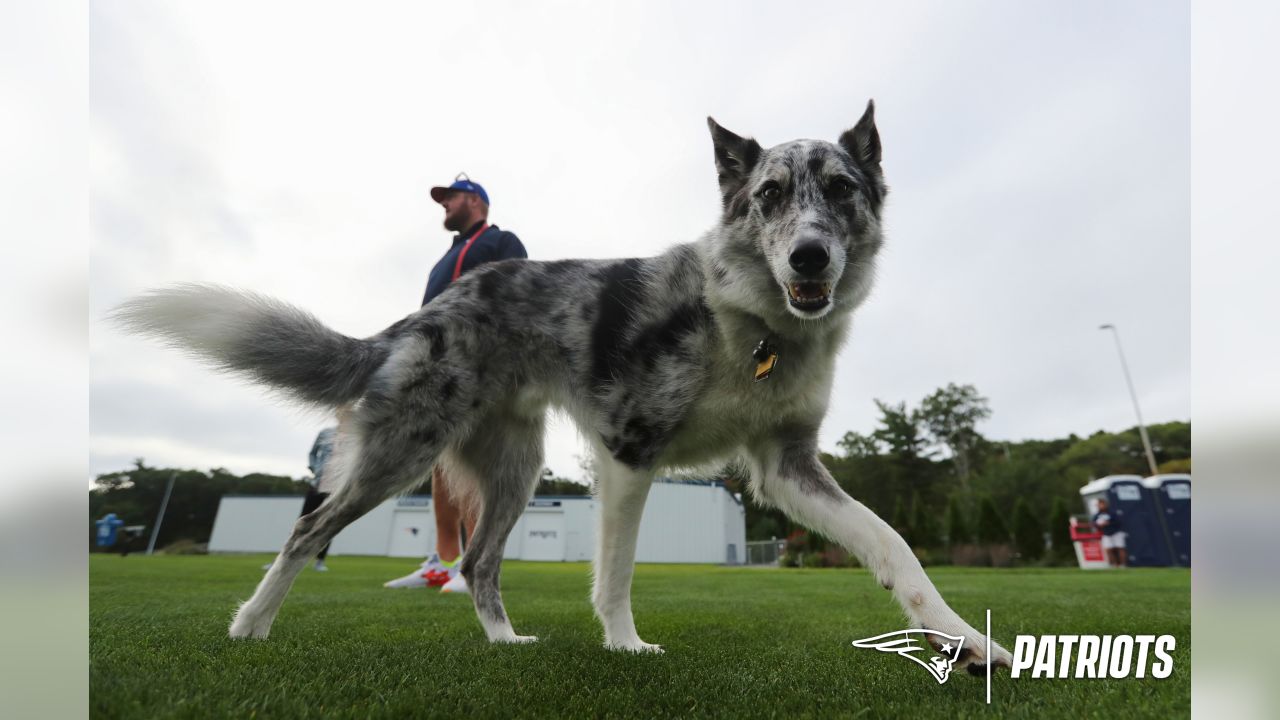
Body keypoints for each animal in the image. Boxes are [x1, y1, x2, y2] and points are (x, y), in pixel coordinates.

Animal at [112, 102, 1008, 671]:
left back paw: (504, 644)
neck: (747, 320)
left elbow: (892, 545)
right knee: (307, 532)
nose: (809, 257)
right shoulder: (630, 454)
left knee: (477, 562)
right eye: (770, 196)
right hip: (402, 455)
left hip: (515, 467)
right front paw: (628, 649)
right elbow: (616, 573)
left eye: (843, 190)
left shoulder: (786, 467)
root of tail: (427, 312)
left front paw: (971, 644)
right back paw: (250, 624)